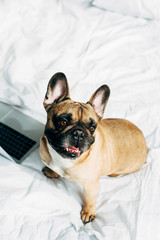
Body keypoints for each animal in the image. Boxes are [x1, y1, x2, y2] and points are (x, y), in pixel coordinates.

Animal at [39, 72, 148, 224]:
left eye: (92, 128)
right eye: (63, 122)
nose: (79, 133)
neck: (65, 160)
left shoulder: (91, 185)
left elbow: (89, 199)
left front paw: (88, 212)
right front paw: (51, 172)